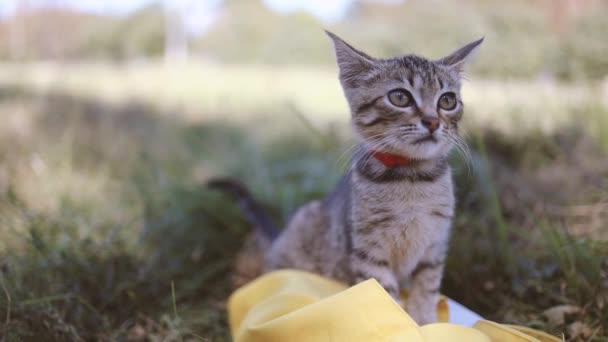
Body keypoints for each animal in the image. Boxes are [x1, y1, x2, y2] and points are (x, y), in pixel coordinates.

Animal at [211, 31, 482, 324]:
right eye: (400, 97)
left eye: (447, 101)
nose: (433, 121)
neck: (411, 179)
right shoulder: (368, 251)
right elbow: (386, 294)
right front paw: (406, 325)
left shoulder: (434, 246)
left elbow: (426, 289)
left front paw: (424, 322)